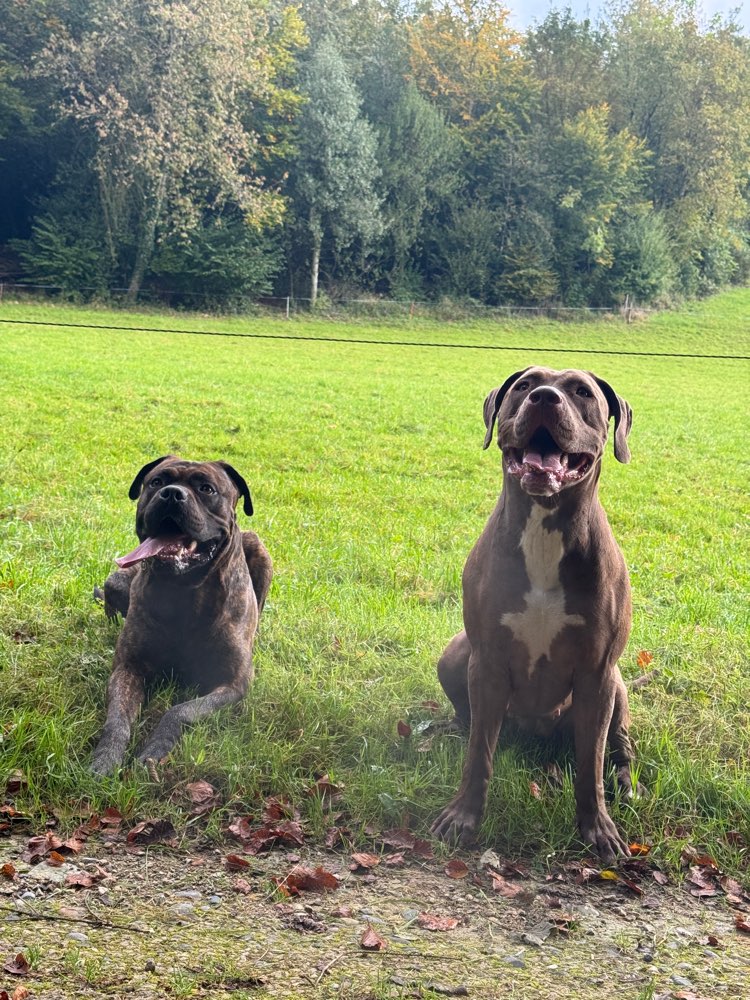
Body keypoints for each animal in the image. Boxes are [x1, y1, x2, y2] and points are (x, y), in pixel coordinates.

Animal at [91, 458, 274, 776]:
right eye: (156, 482)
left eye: (206, 488)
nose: (172, 494)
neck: (183, 591)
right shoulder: (127, 669)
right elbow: (117, 720)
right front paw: (105, 758)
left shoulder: (233, 683)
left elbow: (180, 712)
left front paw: (154, 750)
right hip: (115, 579)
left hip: (259, 549)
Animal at [434, 368, 640, 860]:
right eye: (526, 386)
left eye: (582, 392)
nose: (546, 398)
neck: (545, 530)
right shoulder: (486, 659)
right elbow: (479, 754)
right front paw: (463, 816)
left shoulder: (598, 672)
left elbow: (590, 763)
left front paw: (597, 829)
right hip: (455, 652)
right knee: (472, 721)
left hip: (618, 684)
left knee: (617, 746)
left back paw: (624, 782)